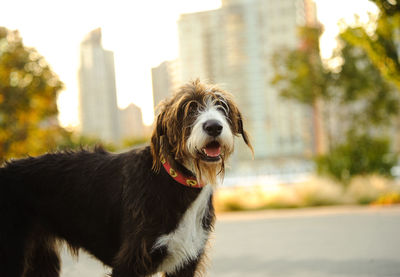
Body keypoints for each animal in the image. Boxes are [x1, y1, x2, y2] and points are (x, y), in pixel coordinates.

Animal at [0, 78, 252, 274]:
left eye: (222, 107)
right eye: (188, 109)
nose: (213, 126)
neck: (174, 181)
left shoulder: (186, 263)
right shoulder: (129, 262)